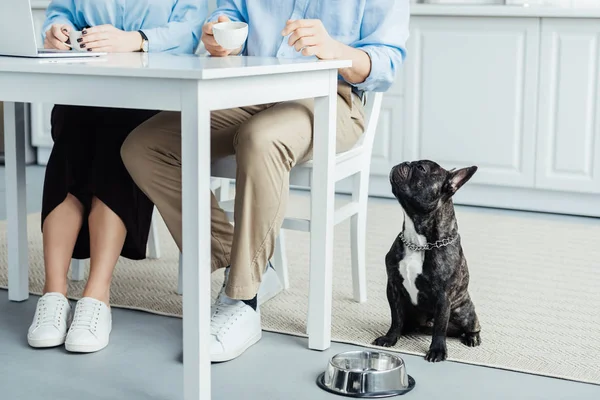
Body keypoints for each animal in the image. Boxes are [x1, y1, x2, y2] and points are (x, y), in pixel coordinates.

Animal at [376, 160, 482, 362]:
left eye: (421, 168)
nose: (405, 162)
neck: (418, 241)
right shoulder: (393, 287)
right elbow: (396, 318)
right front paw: (390, 338)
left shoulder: (443, 296)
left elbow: (440, 327)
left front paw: (437, 350)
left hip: (464, 312)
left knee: (472, 325)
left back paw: (471, 338)